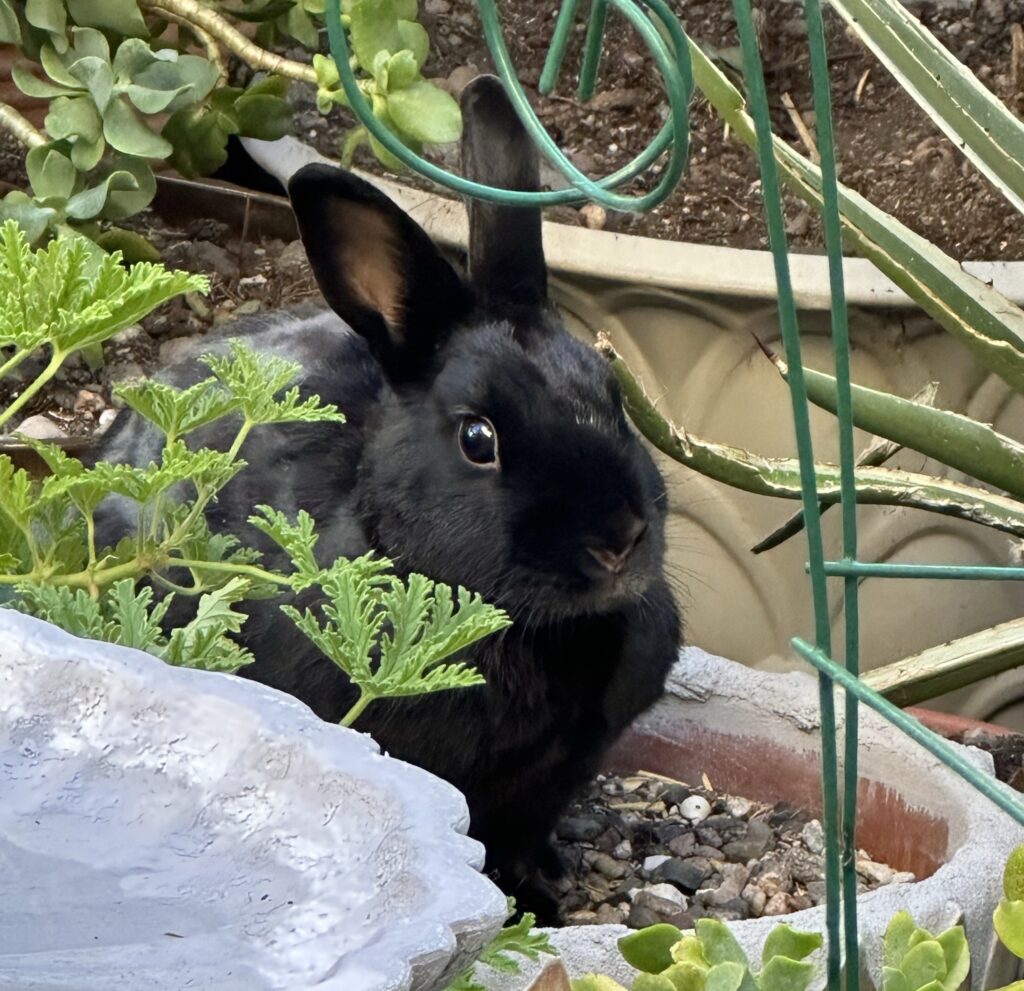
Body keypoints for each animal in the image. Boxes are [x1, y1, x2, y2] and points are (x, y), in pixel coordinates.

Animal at [97, 77, 679, 921]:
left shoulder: (551, 782)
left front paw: (537, 896)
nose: (620, 538)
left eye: (613, 398)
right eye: (478, 437)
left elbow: (523, 834)